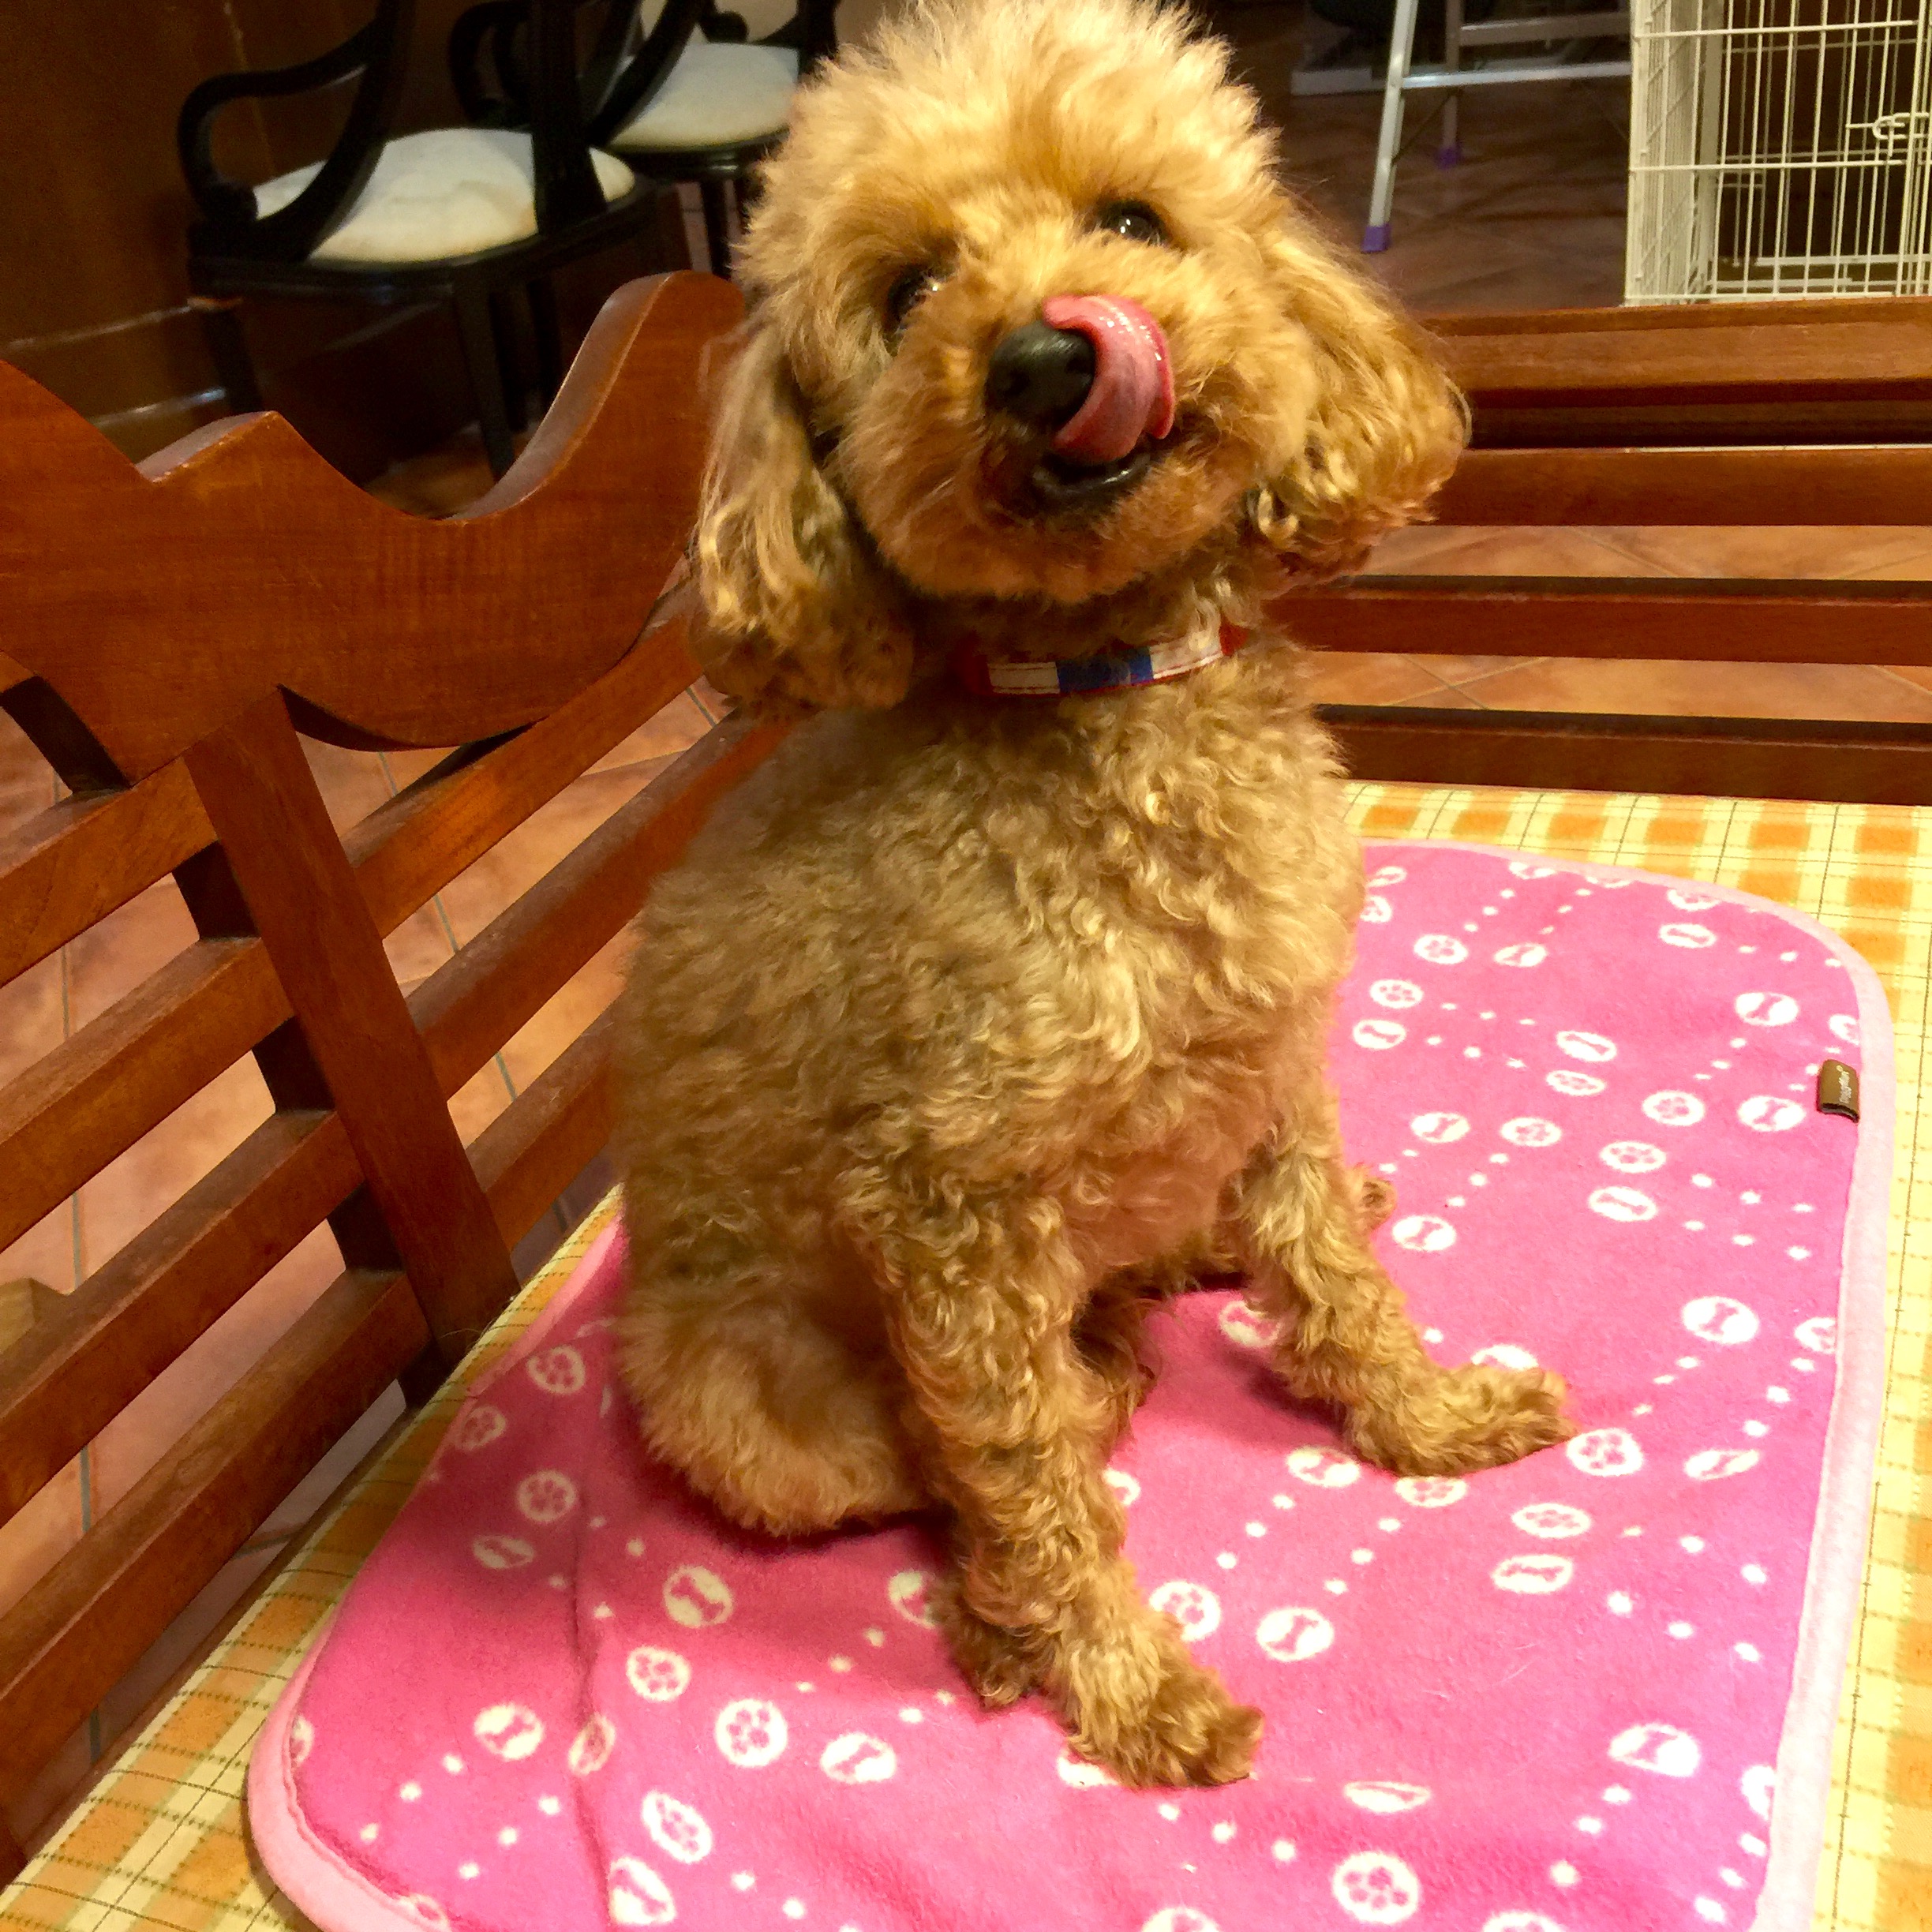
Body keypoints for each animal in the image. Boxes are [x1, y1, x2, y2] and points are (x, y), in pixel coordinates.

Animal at [615, 0, 1573, 1788]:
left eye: (1132, 217)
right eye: (906, 291)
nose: (1050, 358)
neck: (1108, 696)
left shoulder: (1269, 1062)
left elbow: (1334, 1283)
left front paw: (1426, 1418)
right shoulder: (947, 1213)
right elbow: (1027, 1482)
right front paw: (1123, 1687)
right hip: (745, 1403)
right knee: (956, 1464)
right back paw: (1005, 1599)